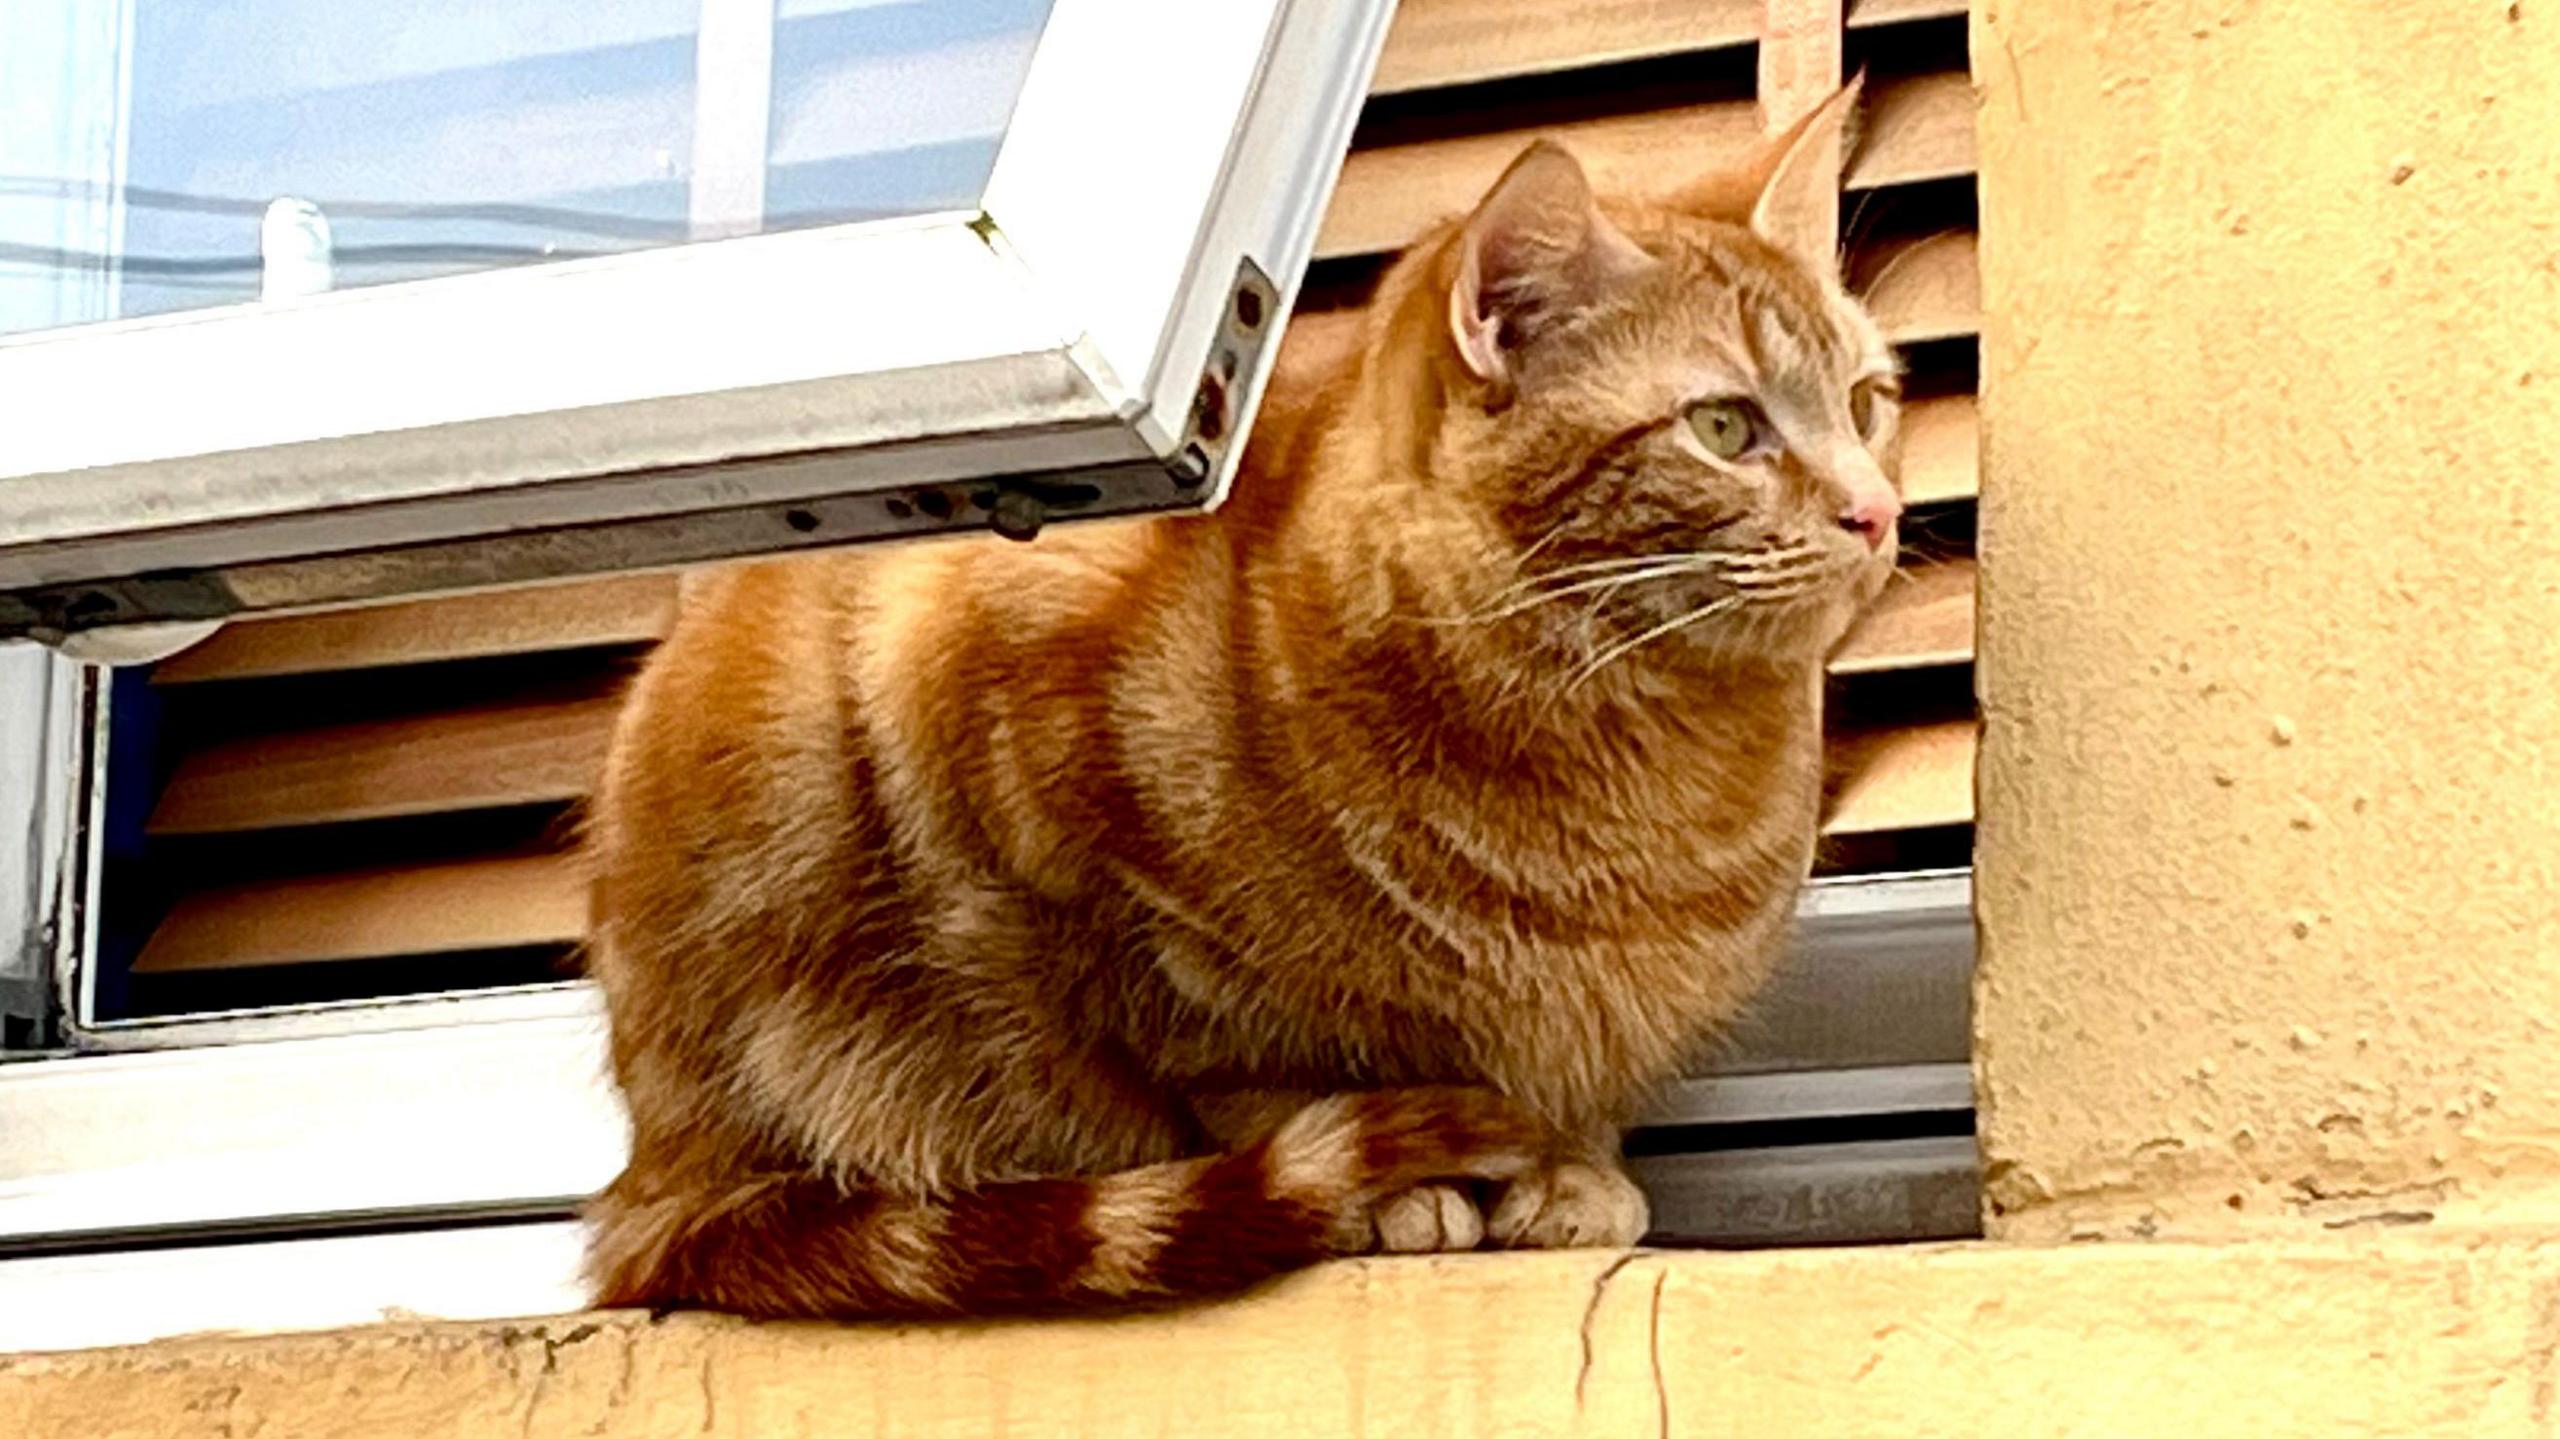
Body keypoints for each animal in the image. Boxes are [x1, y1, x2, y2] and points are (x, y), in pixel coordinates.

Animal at [581, 81, 1904, 1310]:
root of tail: (650, 1177)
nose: (1877, 509)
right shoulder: (1038, 800)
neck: (1633, 746)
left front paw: (1572, 1170)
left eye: (1865, 404)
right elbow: (1238, 1064)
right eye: (1724, 426)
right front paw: (1400, 1179)